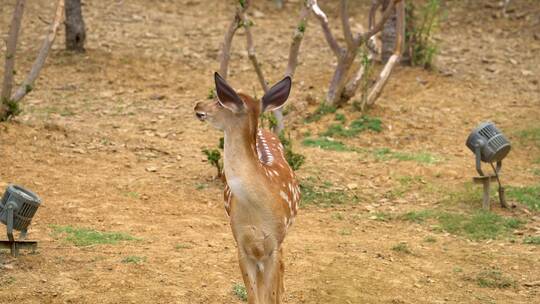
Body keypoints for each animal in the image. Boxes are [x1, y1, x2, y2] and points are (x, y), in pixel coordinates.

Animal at [194, 72, 300, 302]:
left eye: (219, 100)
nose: (197, 105)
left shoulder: (273, 245)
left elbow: (269, 295)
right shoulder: (241, 243)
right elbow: (254, 296)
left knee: (282, 264)